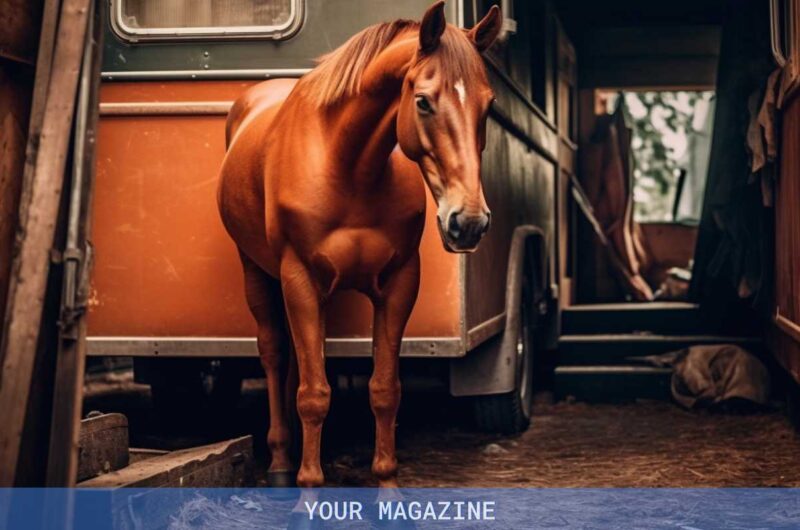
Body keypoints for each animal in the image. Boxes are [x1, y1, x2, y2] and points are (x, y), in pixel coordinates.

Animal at [217, 1, 502, 488]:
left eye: (488, 105)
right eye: (423, 101)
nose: (468, 222)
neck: (348, 167)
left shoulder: (399, 283)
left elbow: (384, 389)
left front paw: (386, 485)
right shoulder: (299, 279)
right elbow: (314, 395)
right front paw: (309, 489)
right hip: (257, 271)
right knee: (274, 354)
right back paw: (279, 462)